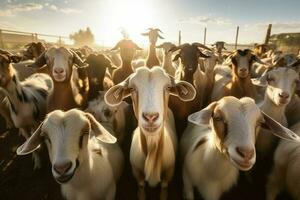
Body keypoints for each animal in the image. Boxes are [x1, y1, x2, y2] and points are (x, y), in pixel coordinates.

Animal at [104, 66, 196, 199]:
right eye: (131, 88)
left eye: (168, 87)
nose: (151, 117)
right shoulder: (137, 173)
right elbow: (141, 188)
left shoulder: (168, 173)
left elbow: (164, 189)